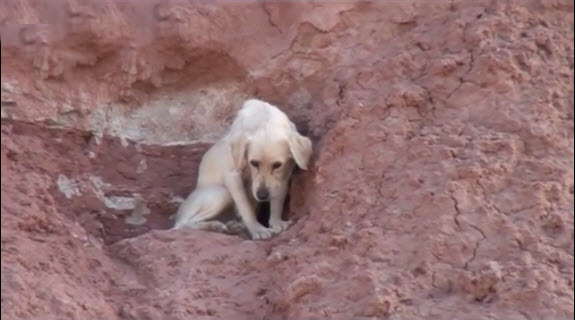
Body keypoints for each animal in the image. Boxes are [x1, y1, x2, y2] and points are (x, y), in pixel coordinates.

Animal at [173, 99, 312, 239]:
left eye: (277, 165)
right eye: (254, 163)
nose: (262, 195)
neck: (264, 118)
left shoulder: (284, 176)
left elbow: (277, 201)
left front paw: (276, 222)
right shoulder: (232, 175)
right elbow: (246, 207)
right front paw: (257, 229)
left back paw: (233, 226)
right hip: (222, 193)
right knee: (183, 224)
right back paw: (214, 226)